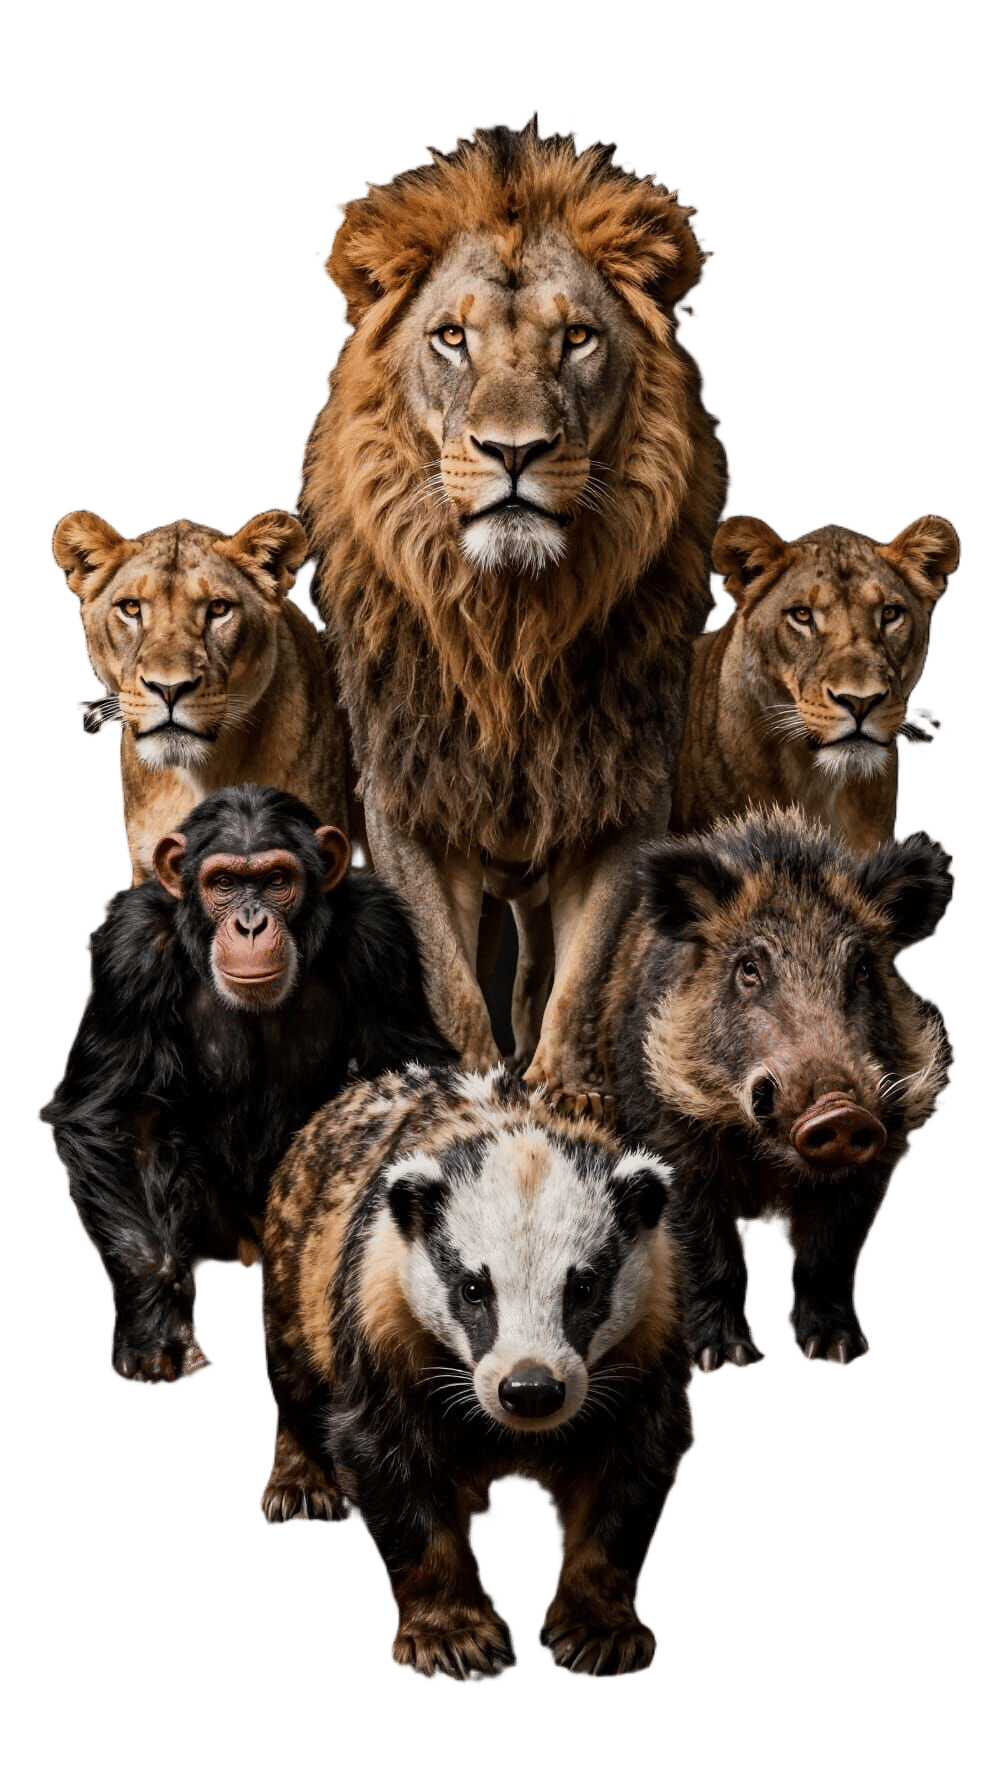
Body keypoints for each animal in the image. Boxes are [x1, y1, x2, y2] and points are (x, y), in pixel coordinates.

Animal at [296, 116, 731, 1099]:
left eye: (577, 337)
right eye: (451, 337)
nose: (514, 451)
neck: (508, 622)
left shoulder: (621, 801)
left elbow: (583, 979)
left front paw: (562, 1090)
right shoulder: (408, 804)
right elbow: (449, 984)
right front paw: (461, 1085)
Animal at [593, 806, 954, 1368]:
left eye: (862, 968)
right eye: (749, 968)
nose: (839, 1110)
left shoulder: (884, 1147)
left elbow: (828, 1254)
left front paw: (838, 1351)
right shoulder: (668, 1136)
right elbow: (710, 1255)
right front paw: (724, 1359)